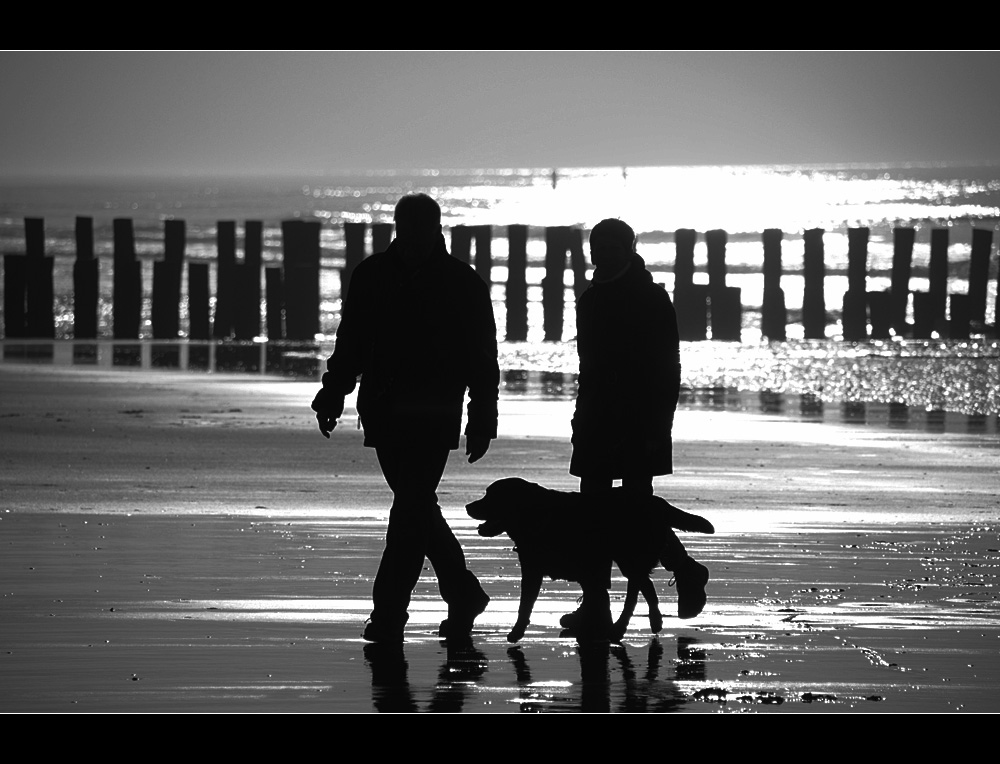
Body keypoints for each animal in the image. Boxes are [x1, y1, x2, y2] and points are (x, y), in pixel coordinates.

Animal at [464, 480, 716, 640]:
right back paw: (646, 622)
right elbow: (525, 605)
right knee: (645, 586)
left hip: (628, 558)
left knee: (638, 590)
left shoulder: (584, 571)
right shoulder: (533, 570)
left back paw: (624, 627)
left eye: (491, 496)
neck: (537, 516)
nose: (467, 506)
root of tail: (657, 502)